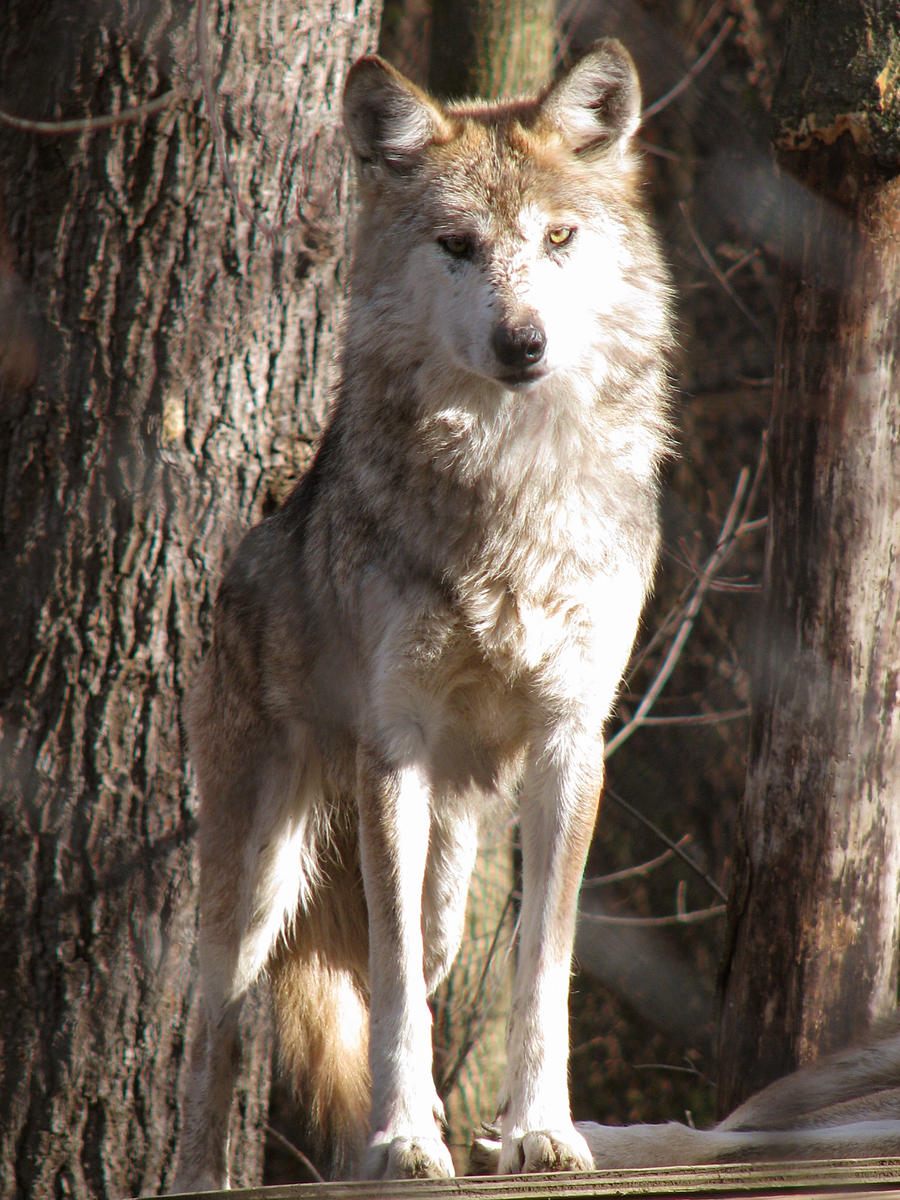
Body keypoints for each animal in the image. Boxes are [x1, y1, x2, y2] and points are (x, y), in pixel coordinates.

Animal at [172, 37, 672, 1190]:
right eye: (458, 246)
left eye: (558, 239)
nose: (524, 341)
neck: (510, 484)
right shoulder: (392, 746)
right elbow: (395, 987)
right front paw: (407, 1141)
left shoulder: (572, 740)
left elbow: (542, 971)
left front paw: (540, 1132)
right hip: (259, 879)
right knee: (226, 1024)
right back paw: (212, 1171)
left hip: (445, 878)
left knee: (387, 972)